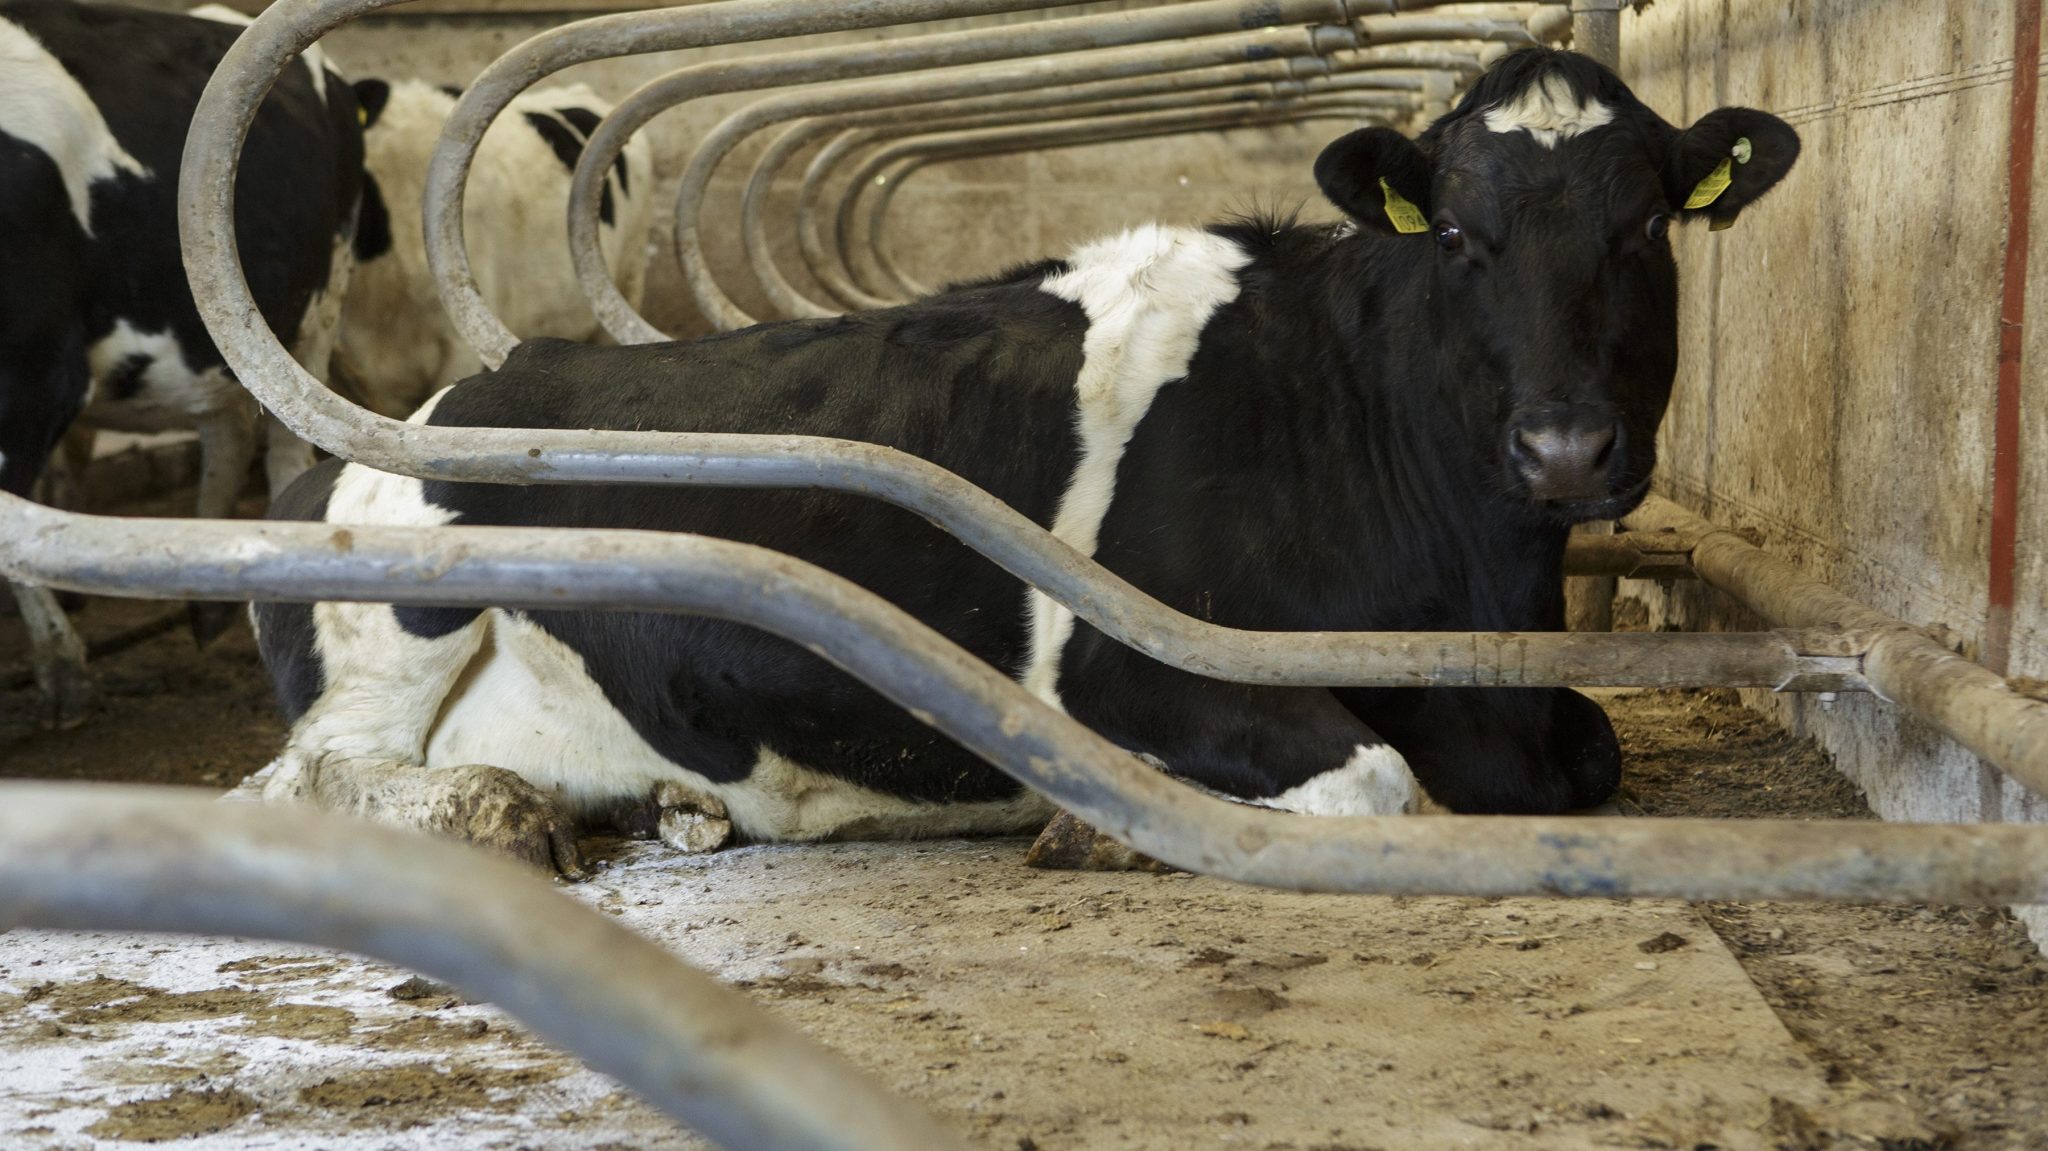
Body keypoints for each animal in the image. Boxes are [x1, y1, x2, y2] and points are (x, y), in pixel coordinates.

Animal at [1, 0, 364, 720]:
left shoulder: (35, 375)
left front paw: (61, 668)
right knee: (226, 429)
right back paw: (205, 604)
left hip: (317, 307)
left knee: (282, 447)